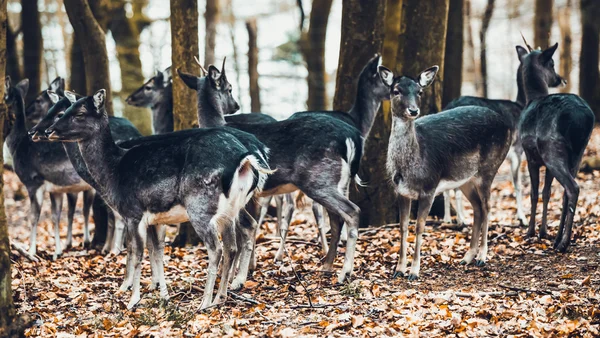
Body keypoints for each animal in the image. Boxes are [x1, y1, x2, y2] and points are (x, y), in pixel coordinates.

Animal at [4, 78, 95, 260]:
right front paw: (57, 252)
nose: (32, 131)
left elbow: (33, 217)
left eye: (38, 99)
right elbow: (55, 216)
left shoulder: (34, 181)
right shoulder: (56, 189)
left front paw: (32, 252)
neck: (17, 147)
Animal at [44, 89, 272, 308]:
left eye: (79, 113)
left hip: (200, 206)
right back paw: (220, 297)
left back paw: (205, 302)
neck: (112, 172)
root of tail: (246, 158)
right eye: (66, 110)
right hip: (230, 209)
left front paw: (132, 299)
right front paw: (163, 295)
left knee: (216, 248)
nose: (48, 131)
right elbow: (158, 252)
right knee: (232, 245)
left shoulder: (133, 213)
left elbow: (137, 254)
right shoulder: (155, 218)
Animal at [177, 54, 394, 284]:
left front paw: (237, 275)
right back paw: (327, 265)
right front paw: (244, 269)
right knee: (336, 218)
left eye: (229, 88)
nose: (235, 105)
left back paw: (344, 272)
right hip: (334, 182)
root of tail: (353, 136)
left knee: (351, 212)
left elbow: (242, 230)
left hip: (319, 179)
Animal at [386, 66, 512, 280]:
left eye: (419, 91)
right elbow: (403, 227)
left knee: (488, 207)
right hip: (465, 179)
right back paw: (467, 257)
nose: (413, 110)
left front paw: (414, 271)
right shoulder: (400, 192)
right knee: (477, 208)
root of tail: (508, 124)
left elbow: (419, 227)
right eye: (396, 91)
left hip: (489, 168)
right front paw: (398, 270)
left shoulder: (429, 187)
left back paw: (482, 257)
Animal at [516, 40, 596, 251]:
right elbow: (547, 192)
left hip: (552, 148)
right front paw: (543, 232)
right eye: (552, 64)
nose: (561, 79)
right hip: (578, 152)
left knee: (573, 187)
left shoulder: (530, 155)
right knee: (566, 192)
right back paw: (558, 239)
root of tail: (583, 118)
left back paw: (564, 243)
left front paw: (531, 232)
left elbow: (534, 192)